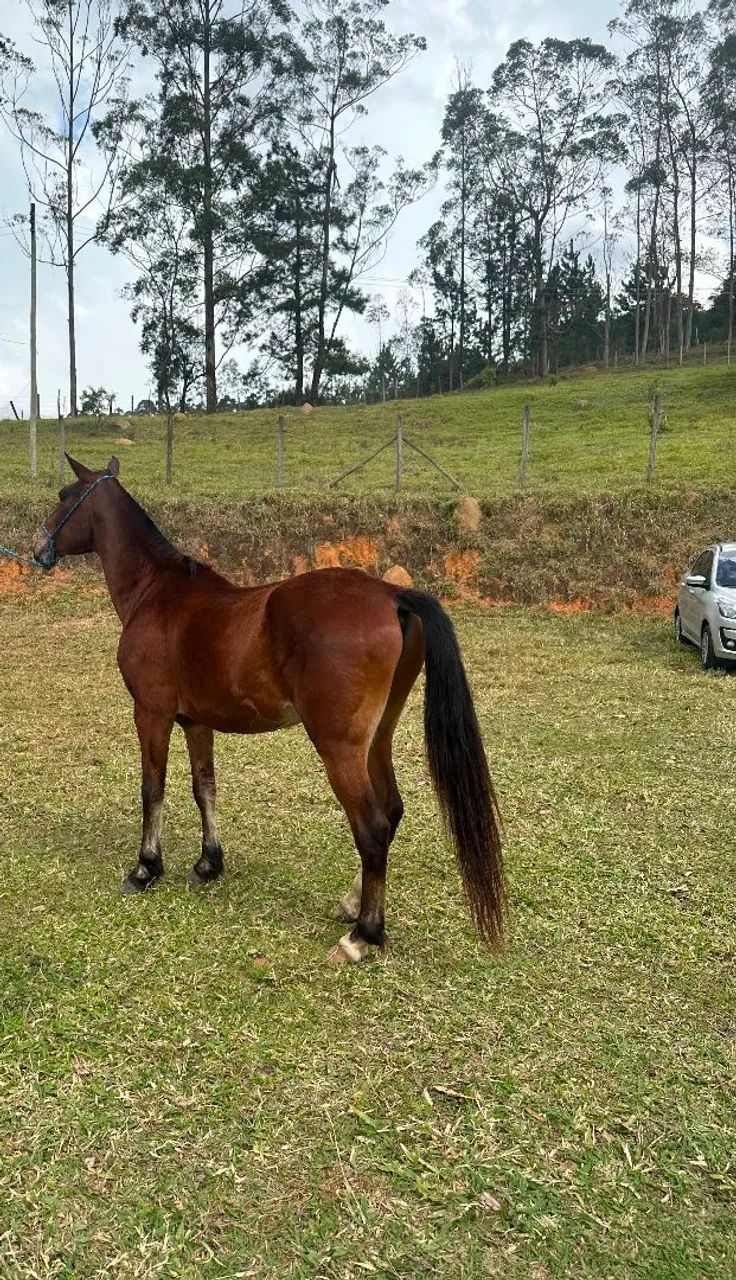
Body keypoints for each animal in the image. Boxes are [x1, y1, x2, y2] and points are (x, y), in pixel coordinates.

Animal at [33, 455, 505, 962]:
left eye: (63, 496)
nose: (40, 547)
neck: (158, 593)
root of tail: (391, 595)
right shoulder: (195, 722)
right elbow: (204, 788)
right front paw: (208, 863)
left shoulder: (151, 713)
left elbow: (152, 789)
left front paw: (146, 868)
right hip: (378, 739)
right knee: (392, 810)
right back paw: (352, 903)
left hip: (339, 748)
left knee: (372, 826)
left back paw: (363, 933)